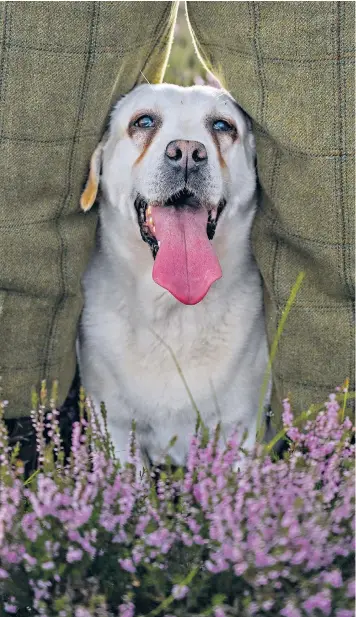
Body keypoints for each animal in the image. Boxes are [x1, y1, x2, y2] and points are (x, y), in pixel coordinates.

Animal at [77, 80, 268, 466]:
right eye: (144, 121)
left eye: (223, 126)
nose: (187, 152)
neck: (174, 311)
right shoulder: (115, 427)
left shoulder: (241, 427)